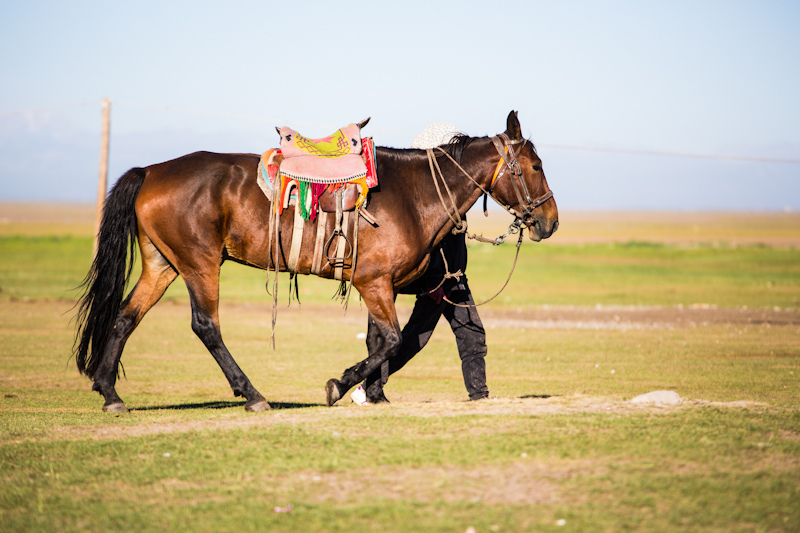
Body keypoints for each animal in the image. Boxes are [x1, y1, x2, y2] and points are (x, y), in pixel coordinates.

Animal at [73, 110, 556, 414]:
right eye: (535, 165)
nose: (549, 221)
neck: (414, 194)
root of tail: (151, 171)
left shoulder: (376, 285)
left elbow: (380, 341)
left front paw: (371, 393)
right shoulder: (374, 283)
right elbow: (392, 340)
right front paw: (341, 385)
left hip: (163, 264)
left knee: (125, 317)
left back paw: (109, 392)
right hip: (199, 264)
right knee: (206, 326)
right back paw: (252, 394)